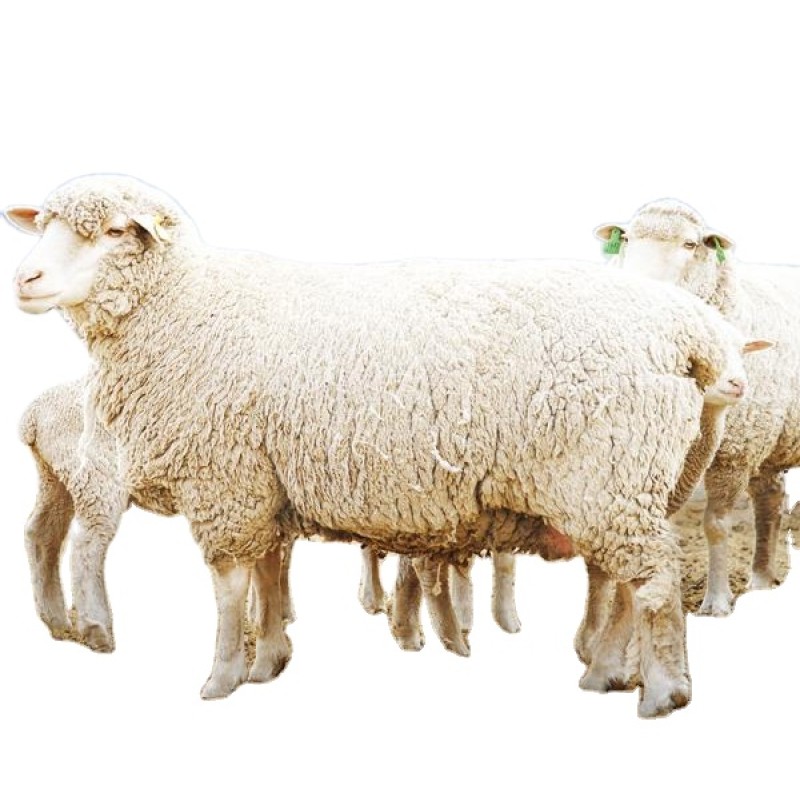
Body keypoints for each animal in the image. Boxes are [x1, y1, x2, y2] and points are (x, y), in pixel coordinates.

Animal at [7, 175, 750, 717]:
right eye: (42, 228)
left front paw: (220, 677)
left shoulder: (226, 480)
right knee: (626, 580)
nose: (25, 280)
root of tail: (690, 330)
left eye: (111, 232)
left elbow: (229, 586)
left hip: (605, 476)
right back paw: (607, 675)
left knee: (650, 579)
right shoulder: (266, 481)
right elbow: (270, 573)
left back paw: (661, 693)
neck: (185, 305)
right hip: (630, 480)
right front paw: (269, 659)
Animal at [596, 199, 800, 616]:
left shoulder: (733, 453)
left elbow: (716, 525)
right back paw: (760, 580)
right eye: (627, 239)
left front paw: (717, 600)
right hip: (767, 439)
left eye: (691, 244)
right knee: (770, 501)